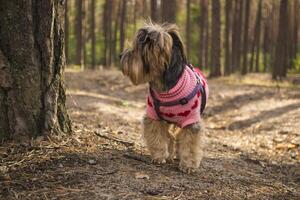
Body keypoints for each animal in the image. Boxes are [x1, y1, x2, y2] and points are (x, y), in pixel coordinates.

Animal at [120, 22, 209, 173]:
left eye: (136, 50)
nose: (120, 55)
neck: (166, 88)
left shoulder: (191, 121)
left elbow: (190, 144)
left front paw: (188, 165)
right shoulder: (154, 116)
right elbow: (157, 137)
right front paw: (159, 156)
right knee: (171, 136)